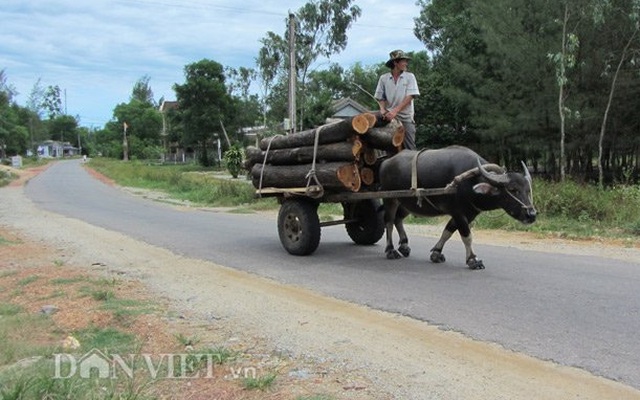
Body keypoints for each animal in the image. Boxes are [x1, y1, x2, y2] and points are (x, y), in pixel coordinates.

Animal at [378, 145, 536, 270]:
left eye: (528, 190)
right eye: (513, 189)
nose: (532, 215)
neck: (469, 182)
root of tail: (386, 162)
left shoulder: (469, 213)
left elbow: (448, 231)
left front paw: (436, 253)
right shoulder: (458, 213)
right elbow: (467, 236)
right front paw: (473, 260)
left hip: (406, 203)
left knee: (398, 219)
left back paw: (404, 246)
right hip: (389, 198)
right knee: (389, 221)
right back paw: (391, 250)